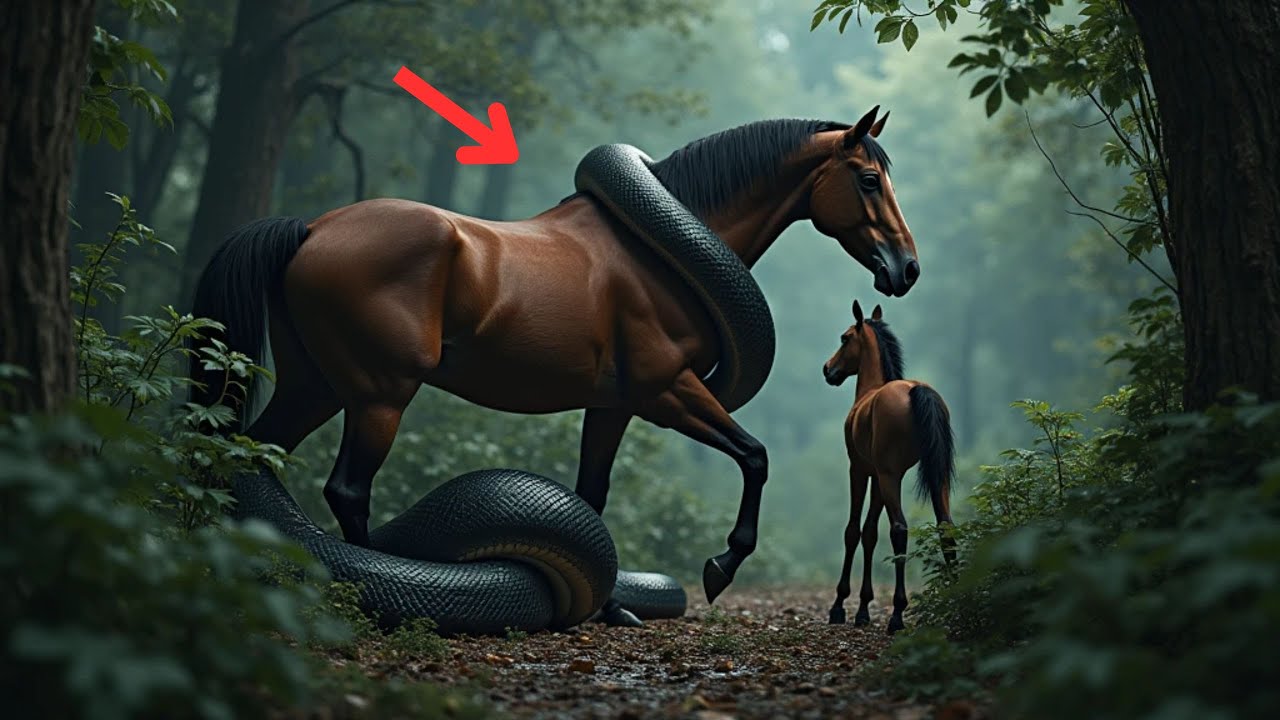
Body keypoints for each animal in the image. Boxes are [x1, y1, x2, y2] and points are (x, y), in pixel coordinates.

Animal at [189, 106, 919, 624]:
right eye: (868, 179)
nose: (906, 269)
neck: (653, 258)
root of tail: (310, 230)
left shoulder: (614, 405)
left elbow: (591, 498)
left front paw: (611, 605)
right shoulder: (666, 392)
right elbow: (755, 457)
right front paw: (722, 563)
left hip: (316, 387)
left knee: (255, 456)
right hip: (379, 395)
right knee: (347, 491)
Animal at [822, 300, 956, 634]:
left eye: (844, 338)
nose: (828, 369)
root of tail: (916, 391)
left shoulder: (860, 470)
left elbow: (854, 531)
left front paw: (840, 606)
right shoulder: (878, 476)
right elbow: (870, 532)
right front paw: (863, 609)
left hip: (888, 476)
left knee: (899, 529)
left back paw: (897, 615)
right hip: (931, 478)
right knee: (946, 526)